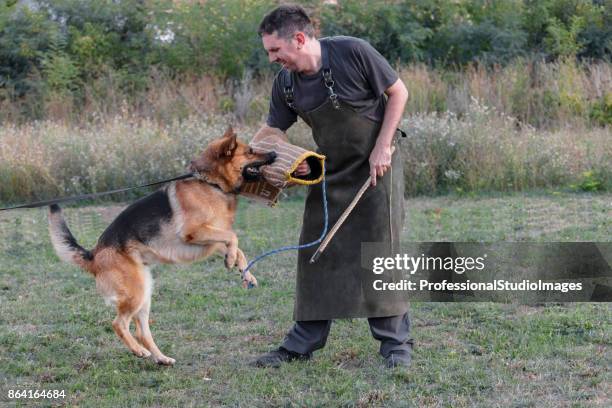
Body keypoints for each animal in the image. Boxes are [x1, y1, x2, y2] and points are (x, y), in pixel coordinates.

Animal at [47, 126, 274, 364]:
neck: (211, 184)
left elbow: (236, 246)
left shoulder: (210, 239)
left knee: (141, 331)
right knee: (118, 324)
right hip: (136, 293)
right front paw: (232, 261)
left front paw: (245, 272)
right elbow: (233, 236)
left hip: (144, 292)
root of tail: (94, 254)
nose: (274, 154)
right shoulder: (194, 232)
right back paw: (139, 351)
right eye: (250, 151)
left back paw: (161, 358)